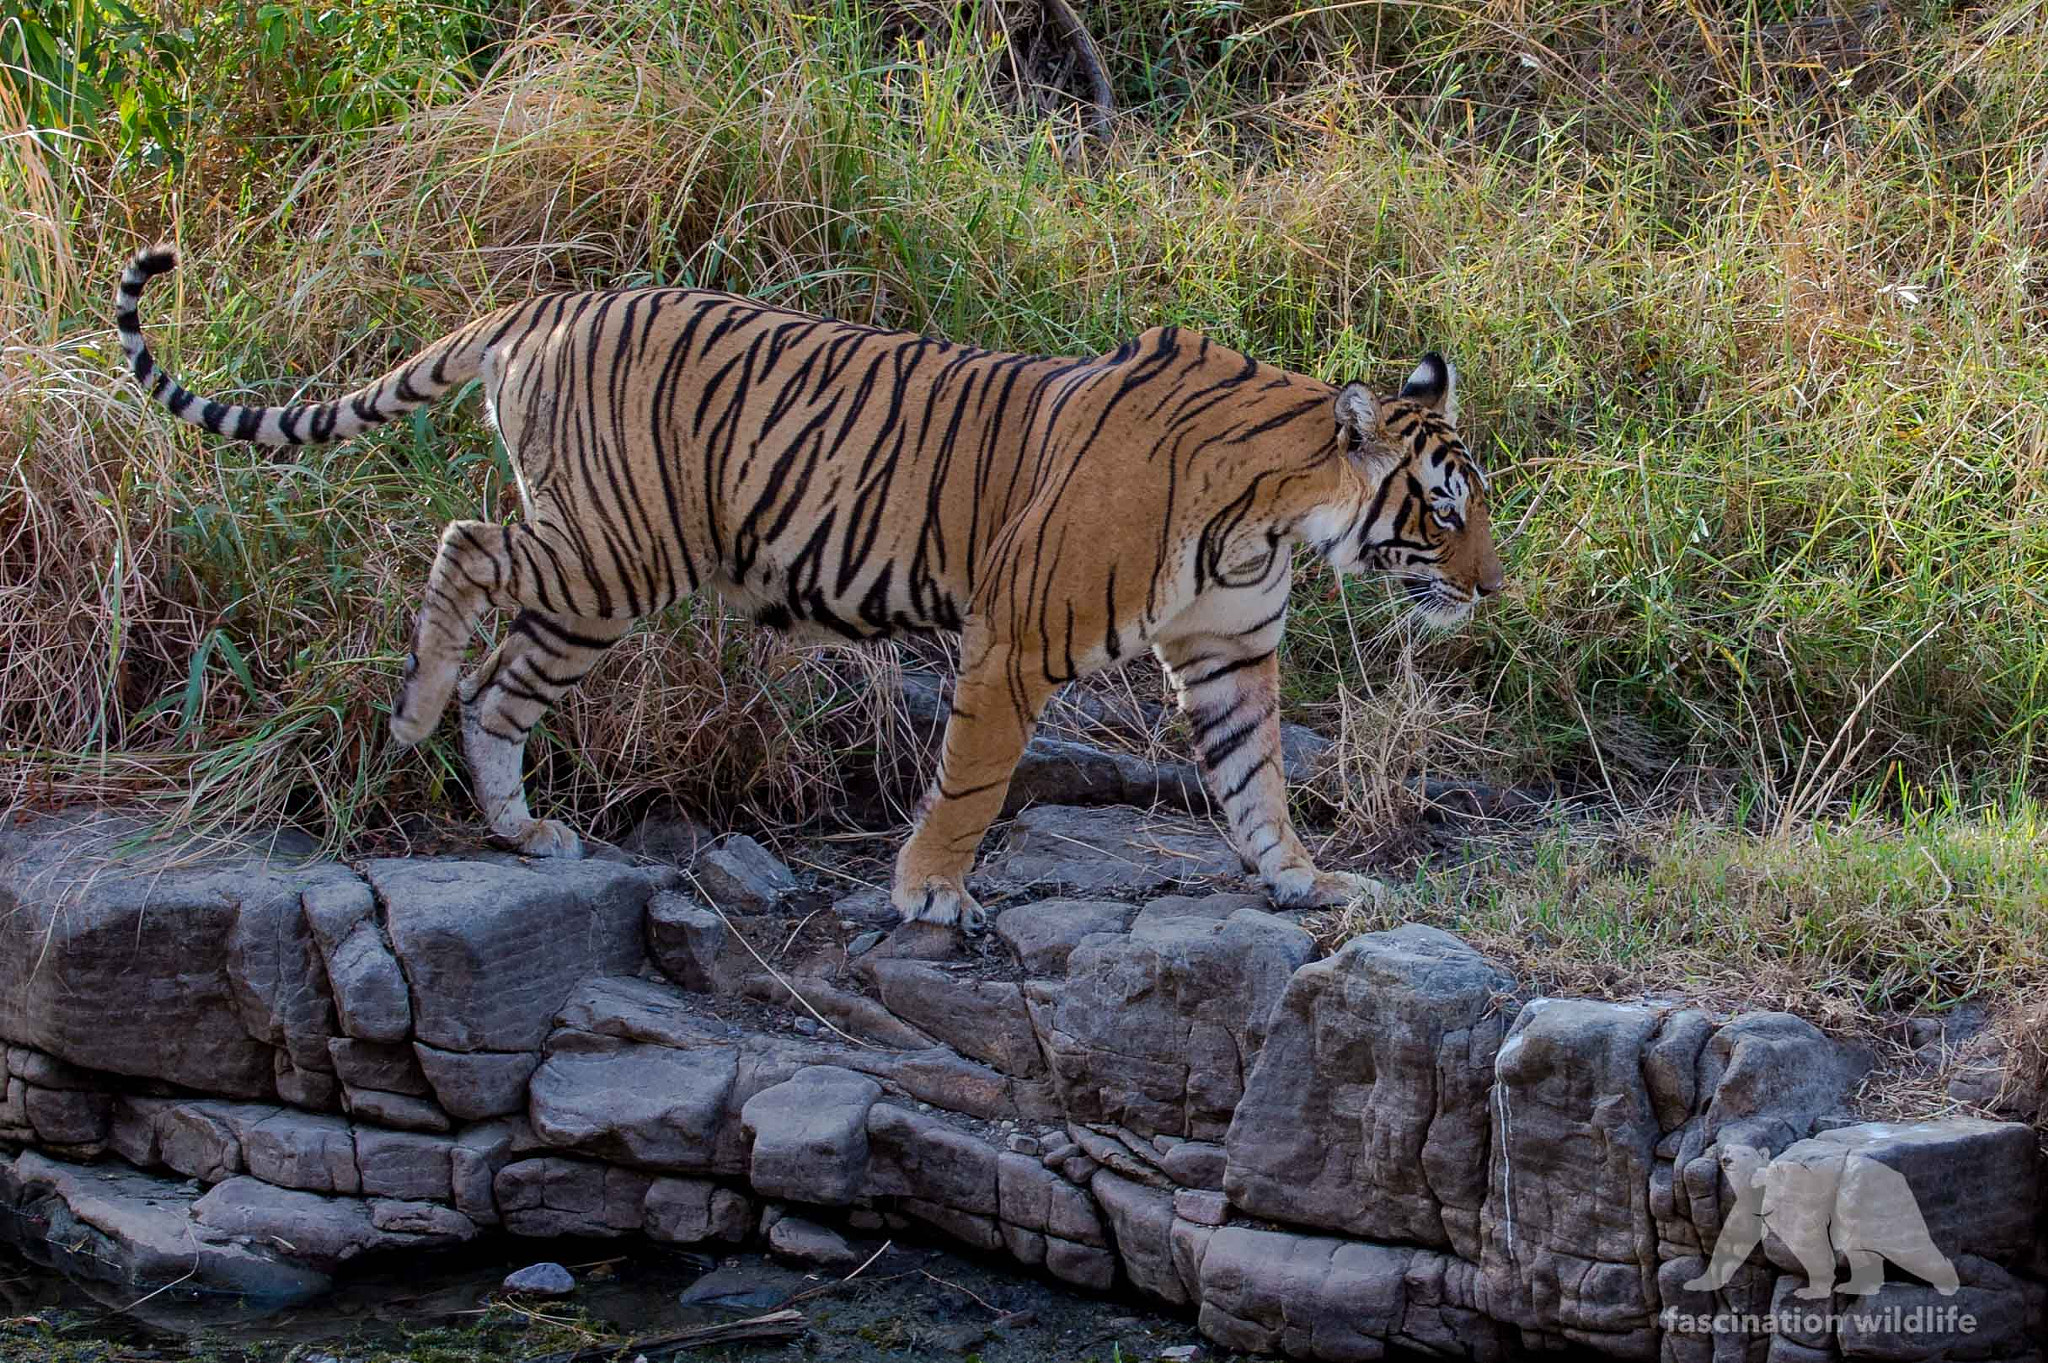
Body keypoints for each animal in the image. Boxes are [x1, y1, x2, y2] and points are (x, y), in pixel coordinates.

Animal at [115, 246, 1505, 930]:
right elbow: (971, 780)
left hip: (593, 574)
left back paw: (520, 829)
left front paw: (1305, 884)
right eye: (1443, 510)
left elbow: (1255, 783)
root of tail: (539, 303)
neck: (1273, 518)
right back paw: (410, 710)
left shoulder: (1227, 656)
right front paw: (930, 894)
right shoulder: (1013, 640)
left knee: (504, 691)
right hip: (614, 548)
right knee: (467, 549)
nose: (1490, 590)